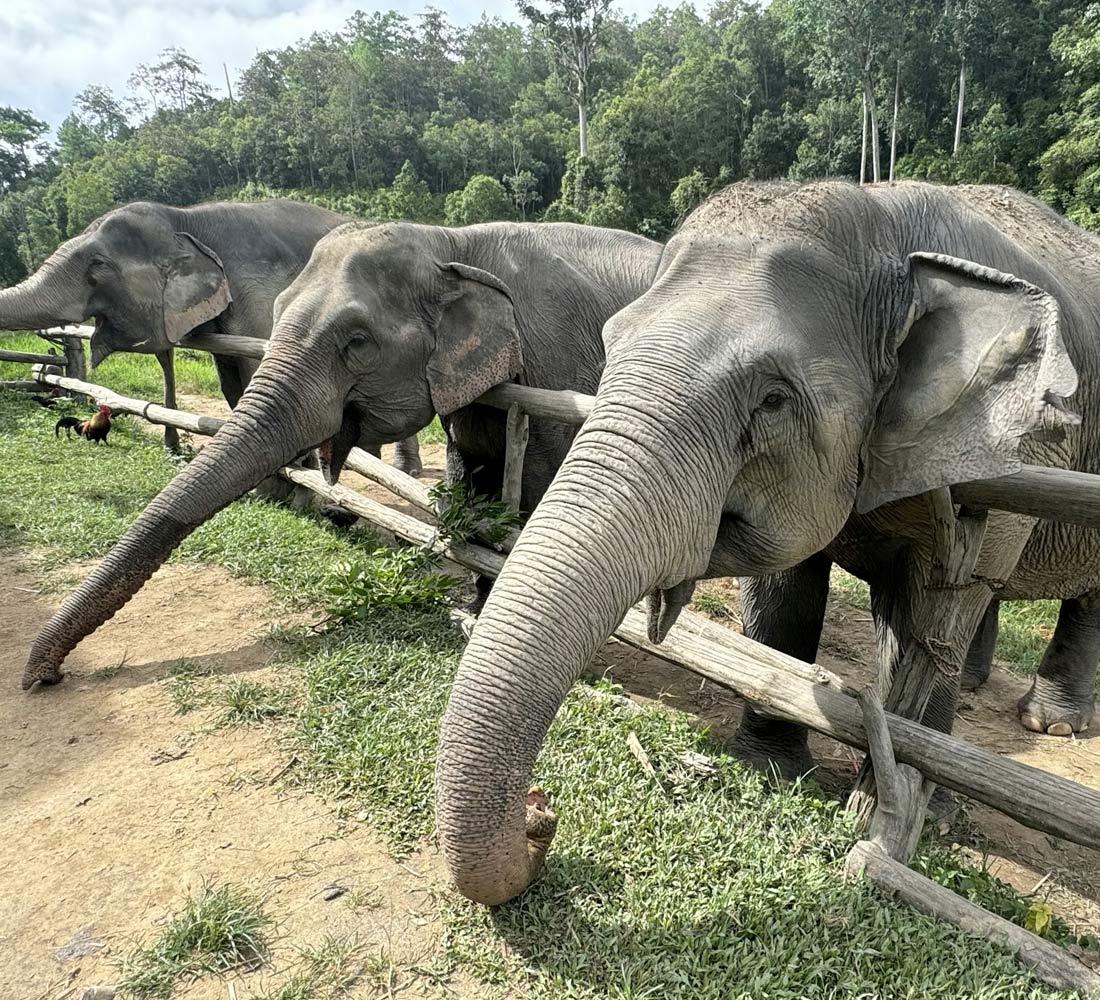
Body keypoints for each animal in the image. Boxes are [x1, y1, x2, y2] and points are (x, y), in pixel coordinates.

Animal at [0, 198, 422, 474]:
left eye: (98, 265)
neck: (187, 218)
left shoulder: (258, 294)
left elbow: (255, 369)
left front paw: (293, 468)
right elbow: (226, 380)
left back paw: (403, 471)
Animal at [21, 220, 663, 690]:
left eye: (356, 342)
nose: (41, 678)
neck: (452, 243)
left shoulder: (558, 371)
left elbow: (536, 495)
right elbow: (473, 483)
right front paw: (479, 616)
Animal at [434, 179, 1100, 906]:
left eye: (774, 400)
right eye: (609, 348)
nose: (540, 813)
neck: (884, 220)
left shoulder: (1011, 454)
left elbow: (941, 607)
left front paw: (908, 814)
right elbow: (786, 589)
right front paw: (768, 766)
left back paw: (1050, 726)